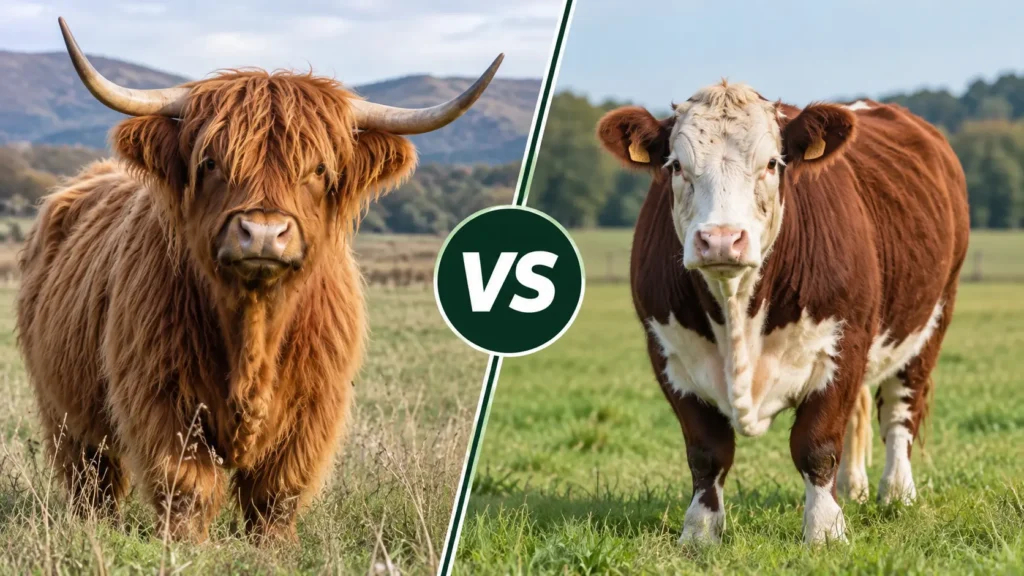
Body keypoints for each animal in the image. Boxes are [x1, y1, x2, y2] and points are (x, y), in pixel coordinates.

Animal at [16, 18, 502, 541]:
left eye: (318, 168)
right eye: (211, 163)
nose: (264, 233)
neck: (254, 325)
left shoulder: (312, 408)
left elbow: (276, 495)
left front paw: (272, 549)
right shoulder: (161, 393)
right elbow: (187, 487)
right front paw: (185, 547)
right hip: (63, 410)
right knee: (92, 478)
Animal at [597, 81, 968, 544]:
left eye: (772, 163)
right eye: (676, 165)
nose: (721, 239)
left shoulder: (844, 344)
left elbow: (817, 445)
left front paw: (824, 530)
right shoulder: (669, 353)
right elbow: (706, 452)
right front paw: (700, 533)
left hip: (932, 319)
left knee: (900, 412)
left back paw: (897, 493)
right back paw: (855, 488)